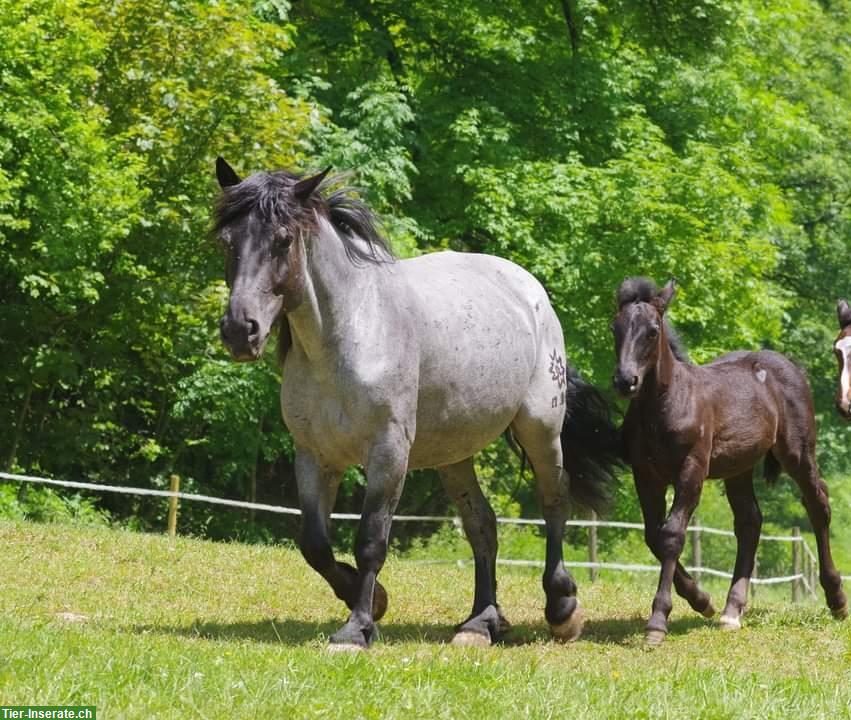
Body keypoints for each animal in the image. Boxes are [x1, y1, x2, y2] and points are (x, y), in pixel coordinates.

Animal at [215, 159, 620, 652]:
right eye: (227, 241)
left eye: (283, 240)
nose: (241, 330)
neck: (350, 336)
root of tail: (530, 290)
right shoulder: (314, 455)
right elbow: (314, 544)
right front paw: (374, 602)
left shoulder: (389, 453)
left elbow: (370, 540)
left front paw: (356, 628)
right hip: (455, 454)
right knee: (481, 525)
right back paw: (481, 623)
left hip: (540, 428)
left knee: (554, 500)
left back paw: (562, 609)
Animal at [612, 278, 844, 644]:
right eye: (615, 328)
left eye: (652, 331)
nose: (625, 381)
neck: (664, 405)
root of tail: (791, 366)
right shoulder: (645, 474)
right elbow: (653, 535)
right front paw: (701, 600)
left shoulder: (692, 470)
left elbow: (672, 535)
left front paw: (657, 622)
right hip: (739, 468)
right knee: (750, 522)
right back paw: (731, 611)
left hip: (798, 454)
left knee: (817, 505)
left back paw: (836, 599)